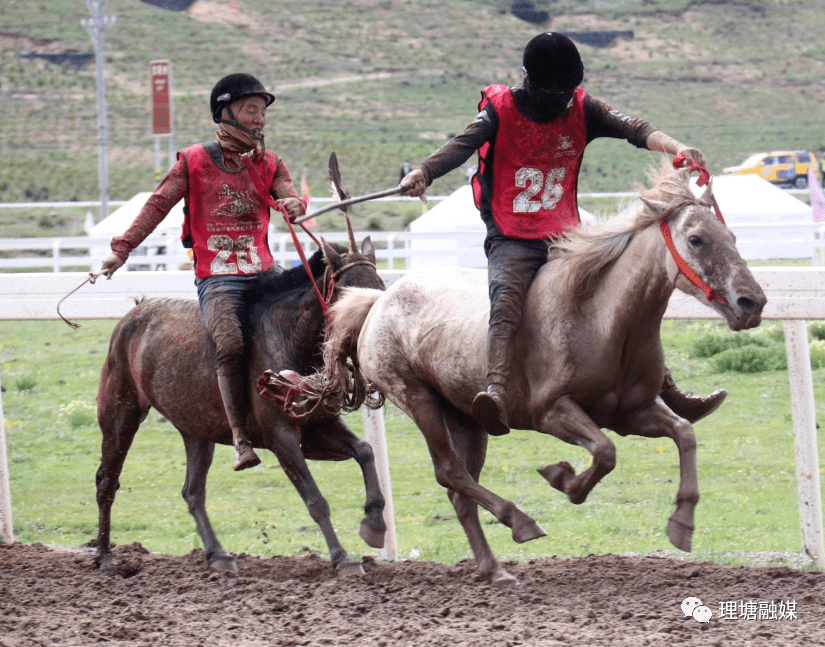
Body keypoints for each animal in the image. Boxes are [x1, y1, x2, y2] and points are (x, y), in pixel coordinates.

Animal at [91, 239, 388, 576]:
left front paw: (374, 523)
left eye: (381, 287)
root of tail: (134, 313)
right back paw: (104, 554)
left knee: (193, 492)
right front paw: (342, 558)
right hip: (121, 415)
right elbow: (315, 500)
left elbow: (365, 451)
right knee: (107, 481)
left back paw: (218, 554)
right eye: (350, 294)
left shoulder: (318, 429)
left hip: (197, 431)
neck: (287, 339)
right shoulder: (281, 438)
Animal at [310, 167, 768, 588]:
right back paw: (520, 521)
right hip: (417, 399)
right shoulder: (552, 412)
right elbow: (605, 453)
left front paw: (682, 522)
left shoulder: (631, 413)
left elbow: (683, 433)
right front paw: (563, 478)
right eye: (697, 239)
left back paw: (493, 567)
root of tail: (378, 300)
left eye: (731, 236)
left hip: (466, 419)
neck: (599, 316)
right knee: (450, 473)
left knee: (460, 489)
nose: (753, 302)